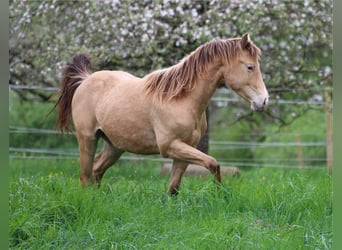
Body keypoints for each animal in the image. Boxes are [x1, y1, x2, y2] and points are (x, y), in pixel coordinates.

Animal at [52, 33, 268, 195]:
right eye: (250, 67)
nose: (263, 101)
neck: (179, 99)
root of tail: (85, 79)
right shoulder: (170, 146)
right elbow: (213, 163)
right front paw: (218, 193)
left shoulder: (184, 150)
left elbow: (174, 188)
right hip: (87, 138)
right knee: (85, 176)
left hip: (114, 146)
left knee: (97, 170)